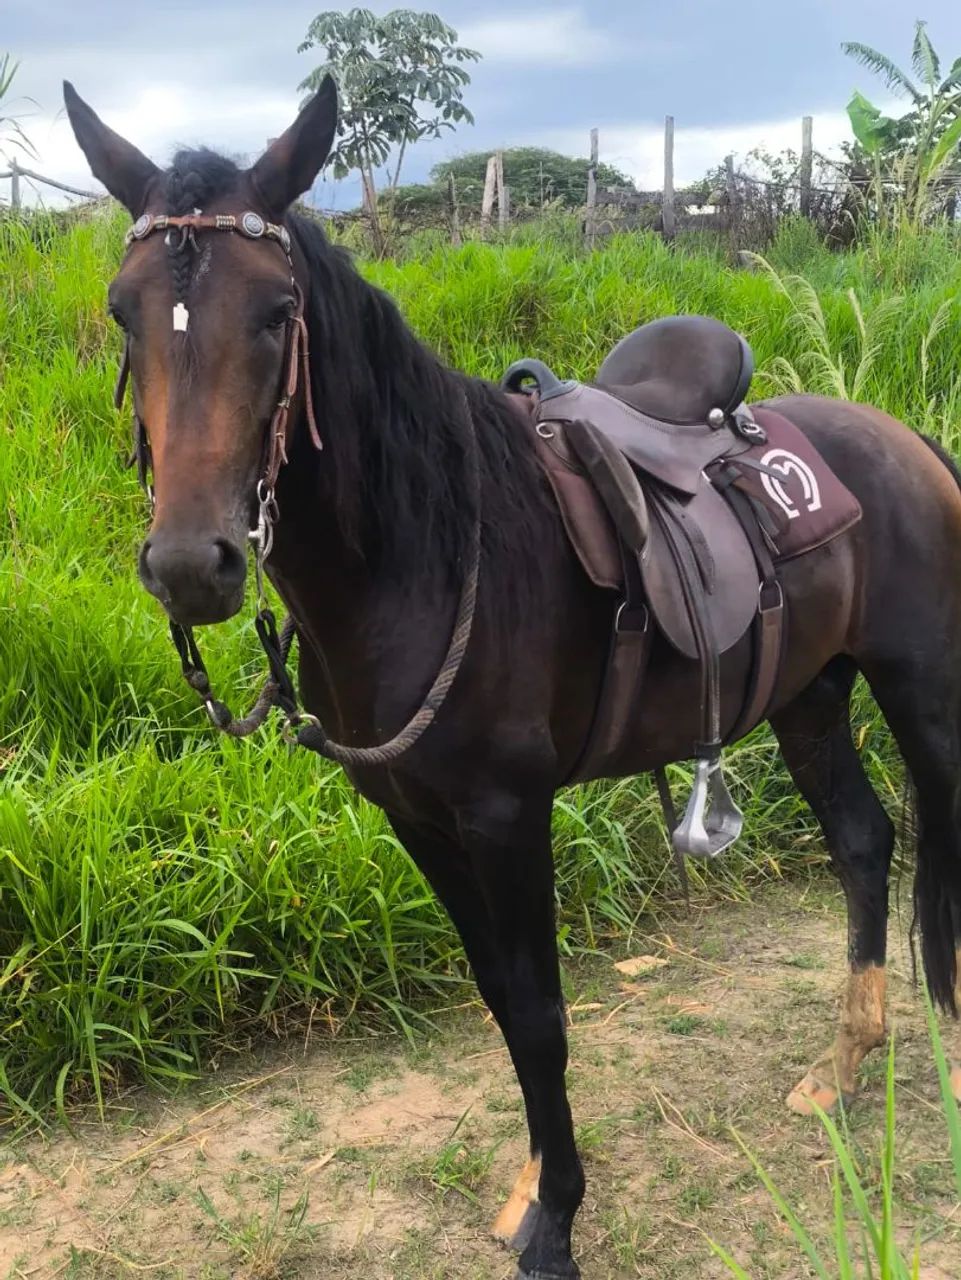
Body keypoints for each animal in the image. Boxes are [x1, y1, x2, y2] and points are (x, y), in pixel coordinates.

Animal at [65, 77, 961, 1280]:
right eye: (124, 312)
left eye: (274, 312)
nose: (188, 565)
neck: (428, 553)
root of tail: (897, 439)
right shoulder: (415, 814)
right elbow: (498, 999)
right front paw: (536, 1183)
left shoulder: (503, 812)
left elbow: (538, 1012)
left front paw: (557, 1222)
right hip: (807, 696)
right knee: (863, 843)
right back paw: (844, 1059)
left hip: (921, 688)